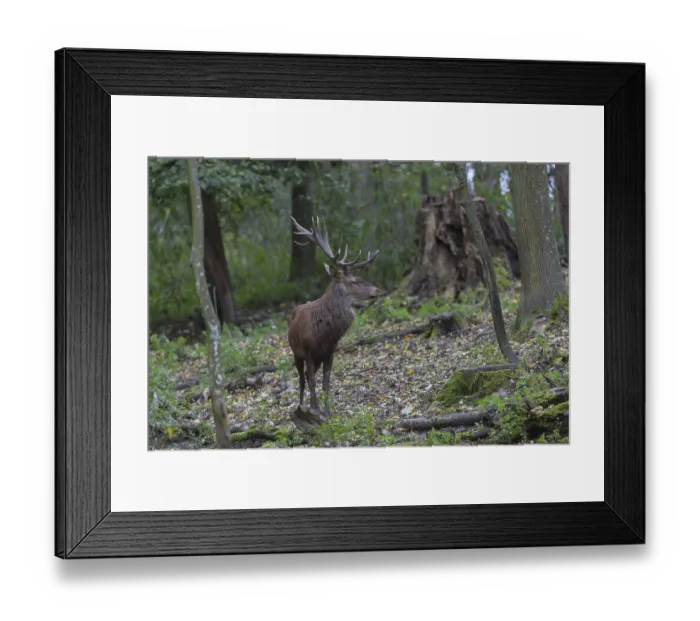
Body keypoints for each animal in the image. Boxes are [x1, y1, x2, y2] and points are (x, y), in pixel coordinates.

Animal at [287, 215, 382, 417]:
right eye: (354, 281)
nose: (377, 290)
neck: (325, 335)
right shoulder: (308, 351)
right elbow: (312, 382)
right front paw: (315, 409)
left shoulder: (330, 352)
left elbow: (326, 383)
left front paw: (327, 412)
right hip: (295, 352)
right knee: (301, 380)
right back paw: (301, 406)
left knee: (306, 378)